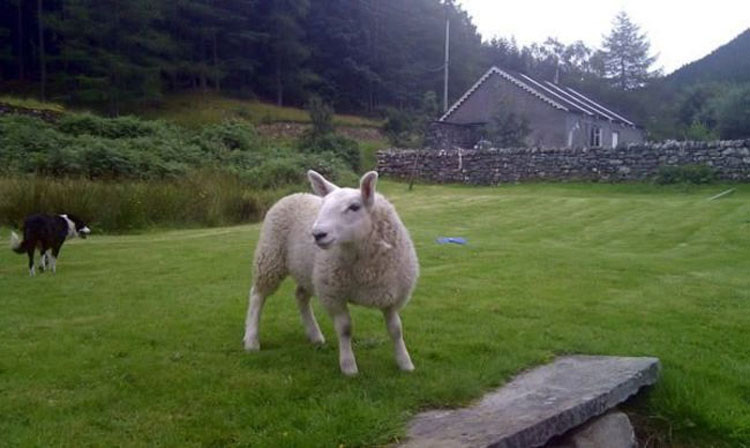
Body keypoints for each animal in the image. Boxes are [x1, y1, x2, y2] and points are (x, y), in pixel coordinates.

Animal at [247, 171, 424, 374]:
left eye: (354, 207)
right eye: (322, 205)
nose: (317, 234)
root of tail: (294, 194)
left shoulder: (391, 296)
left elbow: (396, 330)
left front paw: (405, 363)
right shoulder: (334, 295)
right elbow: (345, 329)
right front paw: (348, 366)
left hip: (309, 272)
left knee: (300, 296)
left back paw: (315, 335)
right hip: (270, 257)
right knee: (257, 296)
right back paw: (251, 340)